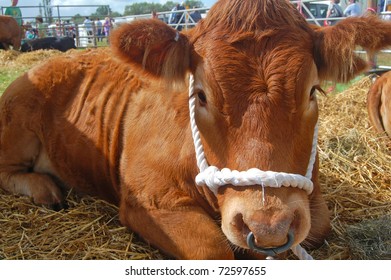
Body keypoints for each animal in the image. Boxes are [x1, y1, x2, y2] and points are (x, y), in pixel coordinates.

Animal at [0, 0, 391, 260]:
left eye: (312, 90)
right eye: (200, 94)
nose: (267, 226)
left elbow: (318, 227)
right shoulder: (149, 201)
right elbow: (213, 249)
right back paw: (45, 189)